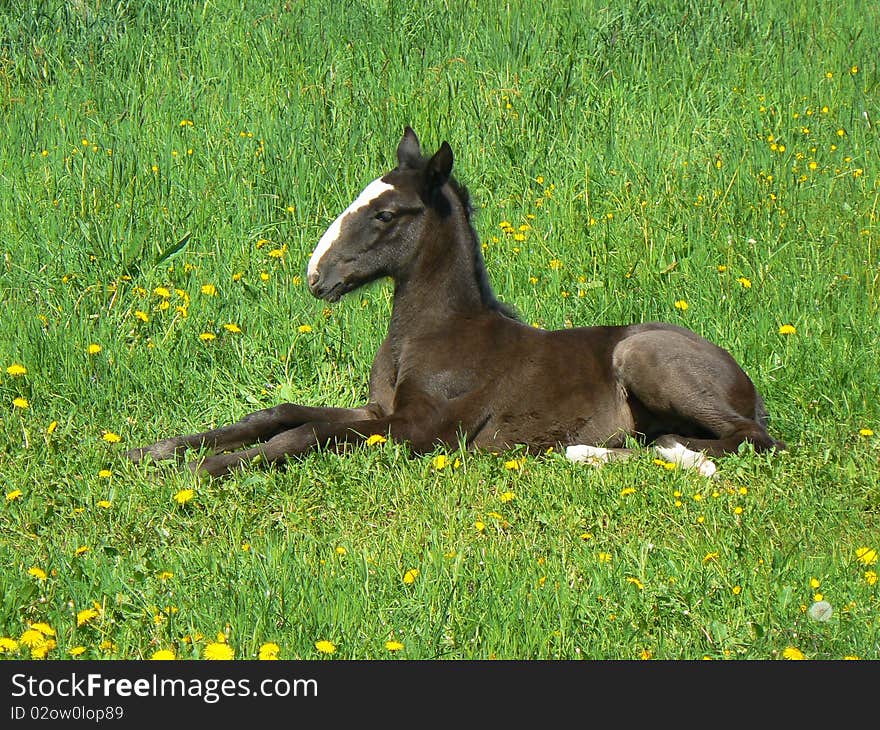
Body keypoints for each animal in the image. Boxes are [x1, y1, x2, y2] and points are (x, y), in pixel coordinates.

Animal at [125, 126, 784, 478]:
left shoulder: (420, 430)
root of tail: (745, 381)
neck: (434, 336)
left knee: (745, 439)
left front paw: (204, 471)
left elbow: (305, 435)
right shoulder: (378, 410)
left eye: (386, 214)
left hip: (644, 360)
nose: (315, 276)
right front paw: (156, 450)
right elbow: (279, 414)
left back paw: (625, 452)